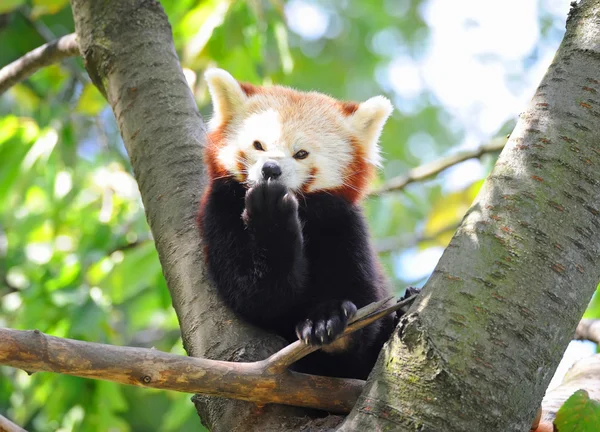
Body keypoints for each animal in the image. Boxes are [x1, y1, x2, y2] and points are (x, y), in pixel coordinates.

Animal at [198, 68, 398, 378]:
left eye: (300, 153)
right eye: (259, 145)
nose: (270, 169)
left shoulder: (343, 224)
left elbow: (365, 303)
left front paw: (328, 320)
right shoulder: (221, 213)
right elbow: (257, 296)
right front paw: (271, 218)